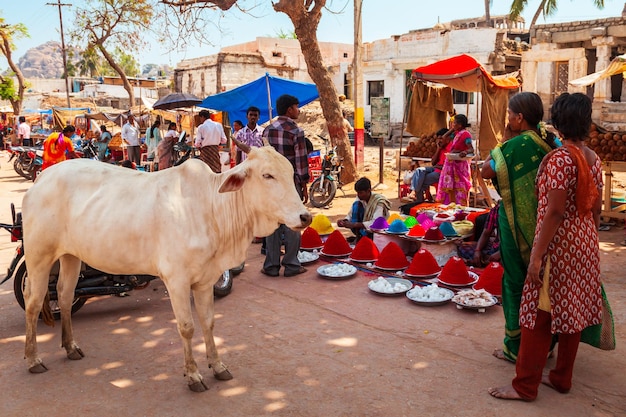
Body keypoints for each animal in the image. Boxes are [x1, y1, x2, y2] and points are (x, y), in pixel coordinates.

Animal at [21, 146, 310, 390]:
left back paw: (70, 347)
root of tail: (40, 180)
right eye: (267, 175)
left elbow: (208, 322)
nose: (305, 216)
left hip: (71, 256)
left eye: (290, 172)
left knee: (65, 296)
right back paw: (33, 359)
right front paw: (193, 375)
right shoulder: (177, 280)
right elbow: (187, 327)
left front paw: (217, 366)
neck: (212, 209)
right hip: (38, 255)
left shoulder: (205, 280)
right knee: (33, 301)